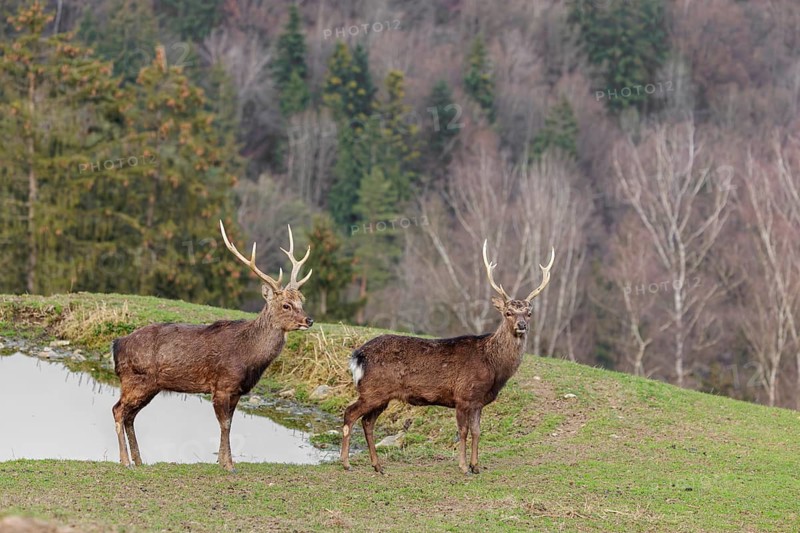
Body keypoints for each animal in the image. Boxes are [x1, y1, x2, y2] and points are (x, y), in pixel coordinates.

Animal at [111, 221, 313, 471]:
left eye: (301, 301)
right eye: (286, 305)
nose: (309, 320)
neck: (249, 357)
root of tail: (117, 344)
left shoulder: (237, 391)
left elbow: (230, 423)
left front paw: (222, 460)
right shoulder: (222, 384)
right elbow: (225, 424)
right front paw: (228, 464)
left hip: (150, 385)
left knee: (130, 415)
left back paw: (139, 460)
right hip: (135, 379)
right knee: (118, 410)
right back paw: (125, 461)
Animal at [340, 240, 554, 475]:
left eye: (528, 313)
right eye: (508, 313)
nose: (521, 325)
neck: (493, 366)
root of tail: (357, 356)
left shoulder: (478, 401)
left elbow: (477, 431)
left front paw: (476, 466)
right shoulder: (463, 395)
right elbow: (463, 432)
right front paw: (463, 466)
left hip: (381, 395)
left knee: (367, 422)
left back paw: (377, 466)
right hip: (373, 390)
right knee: (350, 413)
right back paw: (346, 463)